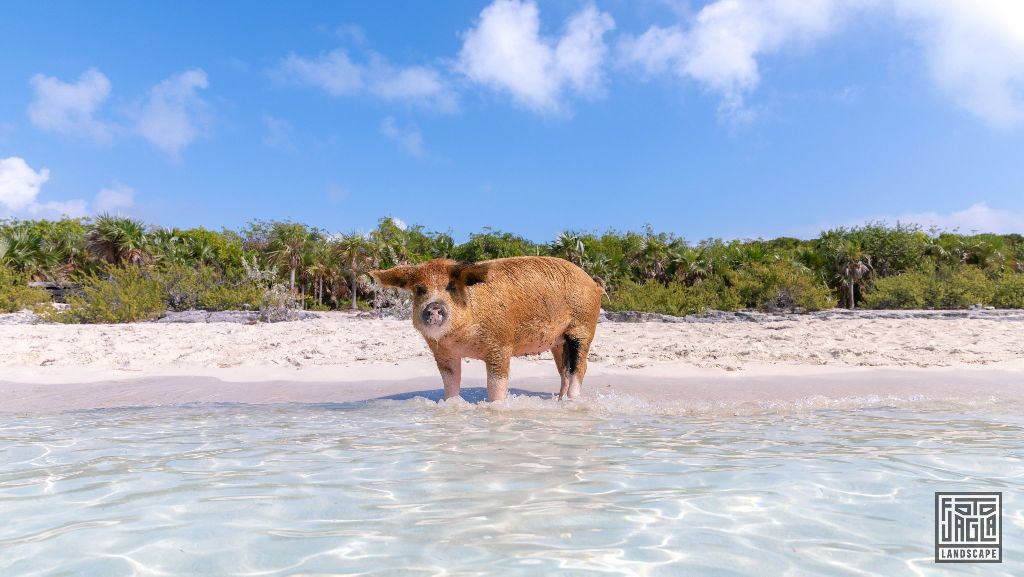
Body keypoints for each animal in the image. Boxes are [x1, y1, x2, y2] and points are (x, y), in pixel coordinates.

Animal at [370, 257, 602, 401]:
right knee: (564, 370)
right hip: (558, 342)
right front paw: (452, 404)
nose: (434, 307)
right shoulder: (443, 353)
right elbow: (451, 381)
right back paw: (559, 401)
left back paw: (571, 401)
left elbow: (496, 384)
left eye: (451, 287)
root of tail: (593, 283)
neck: (460, 339)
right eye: (419, 290)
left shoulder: (501, 344)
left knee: (580, 368)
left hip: (583, 327)